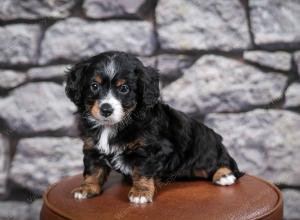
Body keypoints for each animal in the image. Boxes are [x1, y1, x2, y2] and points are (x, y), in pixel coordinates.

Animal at [65, 51, 241, 205]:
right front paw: (86, 189)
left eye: (124, 88)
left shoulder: (151, 150)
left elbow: (143, 171)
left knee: (222, 162)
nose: (106, 110)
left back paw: (224, 175)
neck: (113, 125)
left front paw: (140, 193)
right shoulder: (92, 147)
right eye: (94, 86)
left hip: (206, 150)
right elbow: (93, 170)